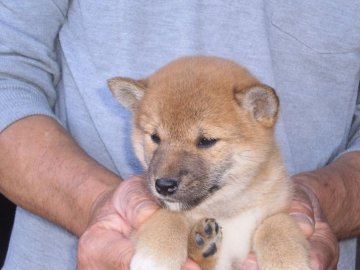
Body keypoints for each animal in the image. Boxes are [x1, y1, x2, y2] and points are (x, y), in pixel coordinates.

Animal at [107, 56, 310, 270]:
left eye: (206, 141)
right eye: (155, 137)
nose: (163, 185)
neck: (226, 210)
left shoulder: (278, 208)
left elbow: (277, 224)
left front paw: (287, 261)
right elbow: (169, 217)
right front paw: (157, 257)